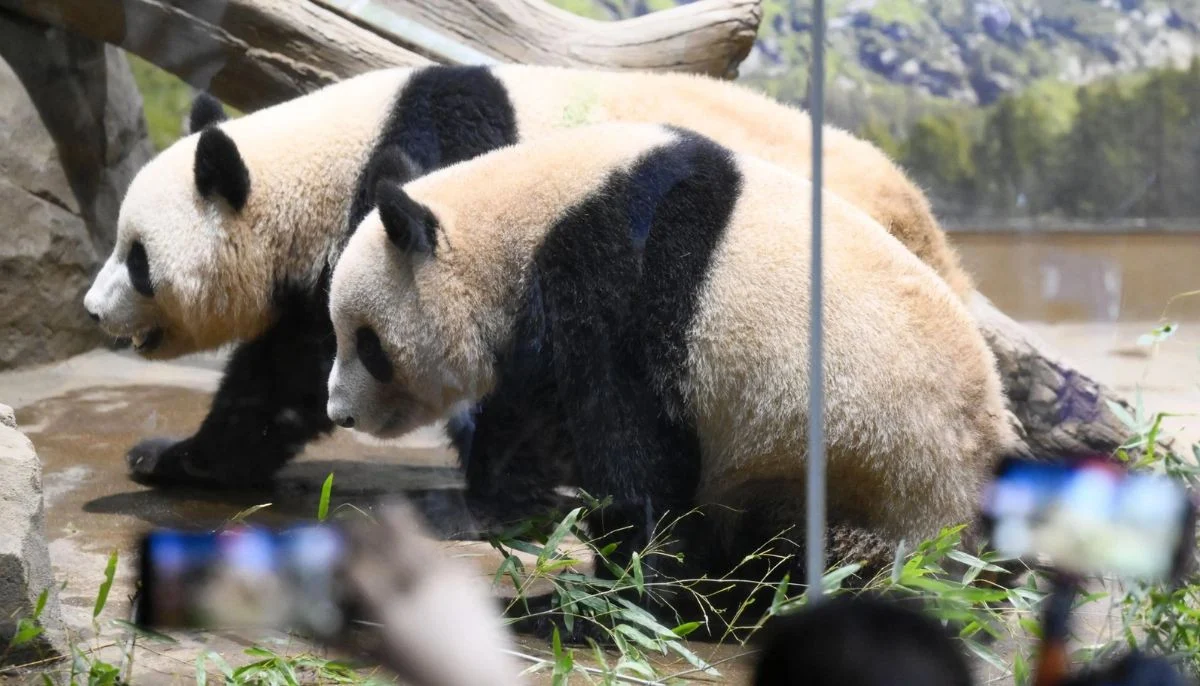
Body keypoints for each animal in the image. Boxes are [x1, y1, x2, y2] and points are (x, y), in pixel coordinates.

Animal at [82, 63, 973, 509]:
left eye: (137, 257)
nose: (91, 310)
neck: (327, 154)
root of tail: (919, 210)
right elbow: (282, 374)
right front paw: (181, 459)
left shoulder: (431, 170)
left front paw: (514, 482)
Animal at [325, 122, 1019, 636]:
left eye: (368, 344)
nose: (340, 414)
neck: (520, 217)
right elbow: (536, 423)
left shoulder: (615, 274)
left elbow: (634, 454)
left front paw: (607, 602)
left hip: (872, 481)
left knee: (803, 555)